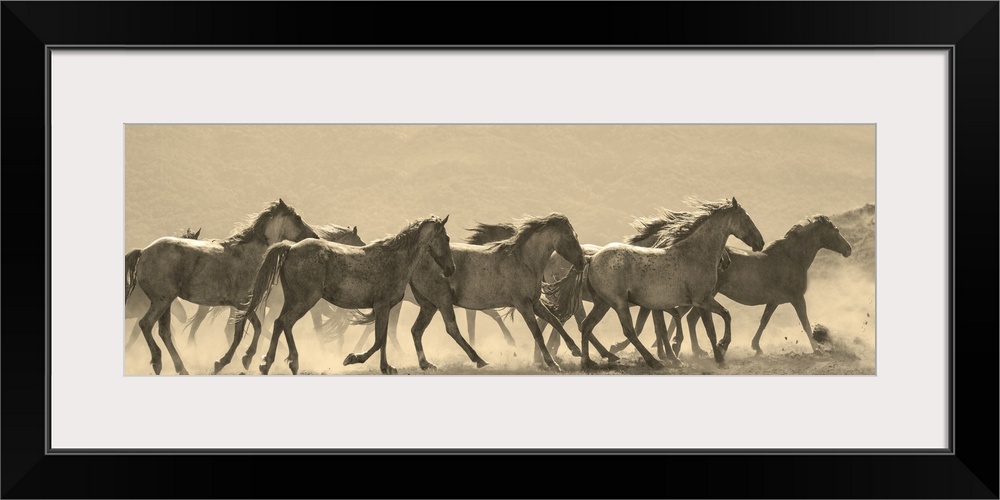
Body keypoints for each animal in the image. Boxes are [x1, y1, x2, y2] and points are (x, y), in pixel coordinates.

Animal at [123, 199, 316, 376]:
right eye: (298, 218)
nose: (314, 236)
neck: (248, 254)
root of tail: (143, 252)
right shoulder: (242, 304)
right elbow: (239, 333)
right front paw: (222, 362)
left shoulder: (244, 304)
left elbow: (257, 327)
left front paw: (247, 358)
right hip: (161, 301)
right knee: (146, 324)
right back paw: (158, 363)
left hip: (166, 302)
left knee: (164, 332)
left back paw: (181, 368)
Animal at [221, 215, 456, 376]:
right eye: (446, 238)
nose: (451, 269)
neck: (396, 259)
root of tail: (290, 248)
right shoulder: (382, 306)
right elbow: (379, 339)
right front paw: (352, 358)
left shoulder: (385, 308)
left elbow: (382, 338)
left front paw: (387, 367)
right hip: (305, 300)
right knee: (285, 322)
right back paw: (292, 362)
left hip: (292, 299)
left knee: (279, 323)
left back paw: (266, 363)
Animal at [572, 197, 764, 370]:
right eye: (747, 218)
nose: (760, 243)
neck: (695, 253)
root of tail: (592, 259)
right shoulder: (702, 300)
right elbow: (717, 323)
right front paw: (720, 352)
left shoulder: (693, 302)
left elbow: (709, 321)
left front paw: (715, 352)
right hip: (618, 303)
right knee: (629, 331)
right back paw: (653, 362)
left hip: (603, 303)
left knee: (586, 325)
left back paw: (588, 363)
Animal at [644, 215, 848, 356]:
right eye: (836, 230)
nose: (849, 249)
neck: (792, 258)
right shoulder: (797, 299)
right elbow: (805, 323)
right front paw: (816, 349)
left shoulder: (774, 302)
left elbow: (764, 321)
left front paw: (756, 347)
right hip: (705, 296)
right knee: (686, 316)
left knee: (688, 318)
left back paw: (689, 349)